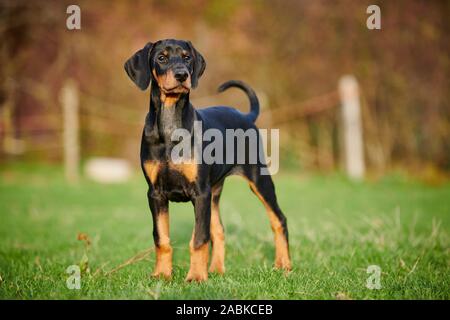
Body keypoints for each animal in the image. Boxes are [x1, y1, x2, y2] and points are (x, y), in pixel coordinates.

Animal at [124, 38, 292, 282]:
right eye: (161, 58)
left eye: (187, 57)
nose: (182, 75)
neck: (170, 125)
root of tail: (246, 117)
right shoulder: (155, 193)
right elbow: (161, 238)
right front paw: (162, 274)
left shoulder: (199, 192)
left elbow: (199, 238)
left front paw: (195, 277)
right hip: (214, 193)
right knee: (219, 230)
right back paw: (217, 269)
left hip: (257, 180)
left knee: (279, 219)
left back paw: (284, 265)